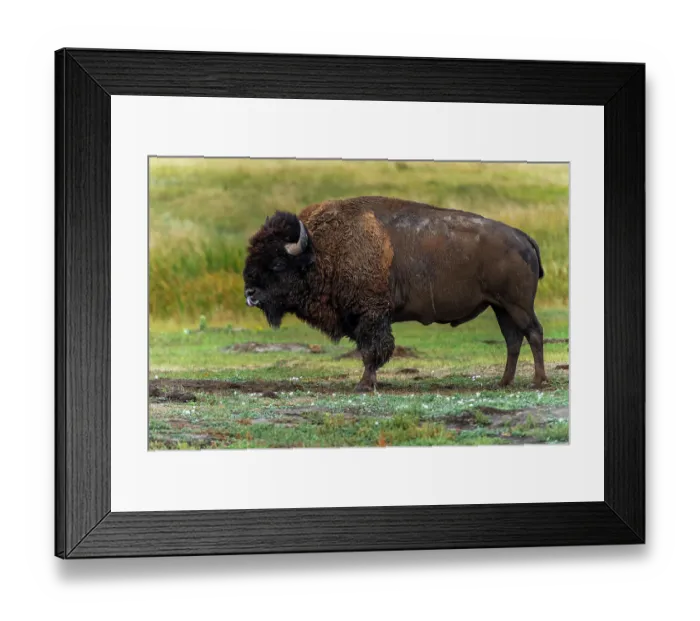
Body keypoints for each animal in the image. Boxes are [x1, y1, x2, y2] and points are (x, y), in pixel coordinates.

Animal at [243, 196, 548, 392]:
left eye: (278, 263)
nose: (249, 293)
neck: (320, 251)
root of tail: (522, 237)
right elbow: (368, 349)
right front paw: (368, 382)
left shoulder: (371, 315)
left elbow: (372, 350)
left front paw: (364, 384)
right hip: (501, 307)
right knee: (513, 340)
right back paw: (504, 382)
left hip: (518, 305)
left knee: (533, 333)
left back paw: (538, 381)